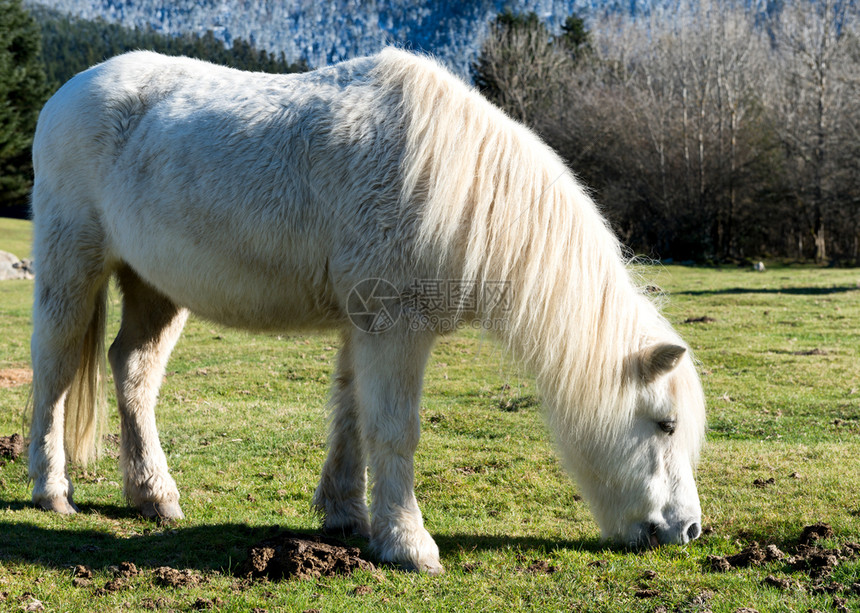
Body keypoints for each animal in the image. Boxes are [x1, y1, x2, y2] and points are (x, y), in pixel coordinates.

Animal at [31, 47, 704, 572]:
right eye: (666, 425)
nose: (689, 530)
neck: (454, 184)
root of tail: (66, 93)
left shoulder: (364, 328)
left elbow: (352, 418)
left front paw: (346, 516)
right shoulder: (394, 330)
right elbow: (394, 430)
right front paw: (409, 544)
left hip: (155, 287)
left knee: (133, 372)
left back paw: (154, 497)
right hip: (72, 266)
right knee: (55, 372)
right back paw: (52, 490)